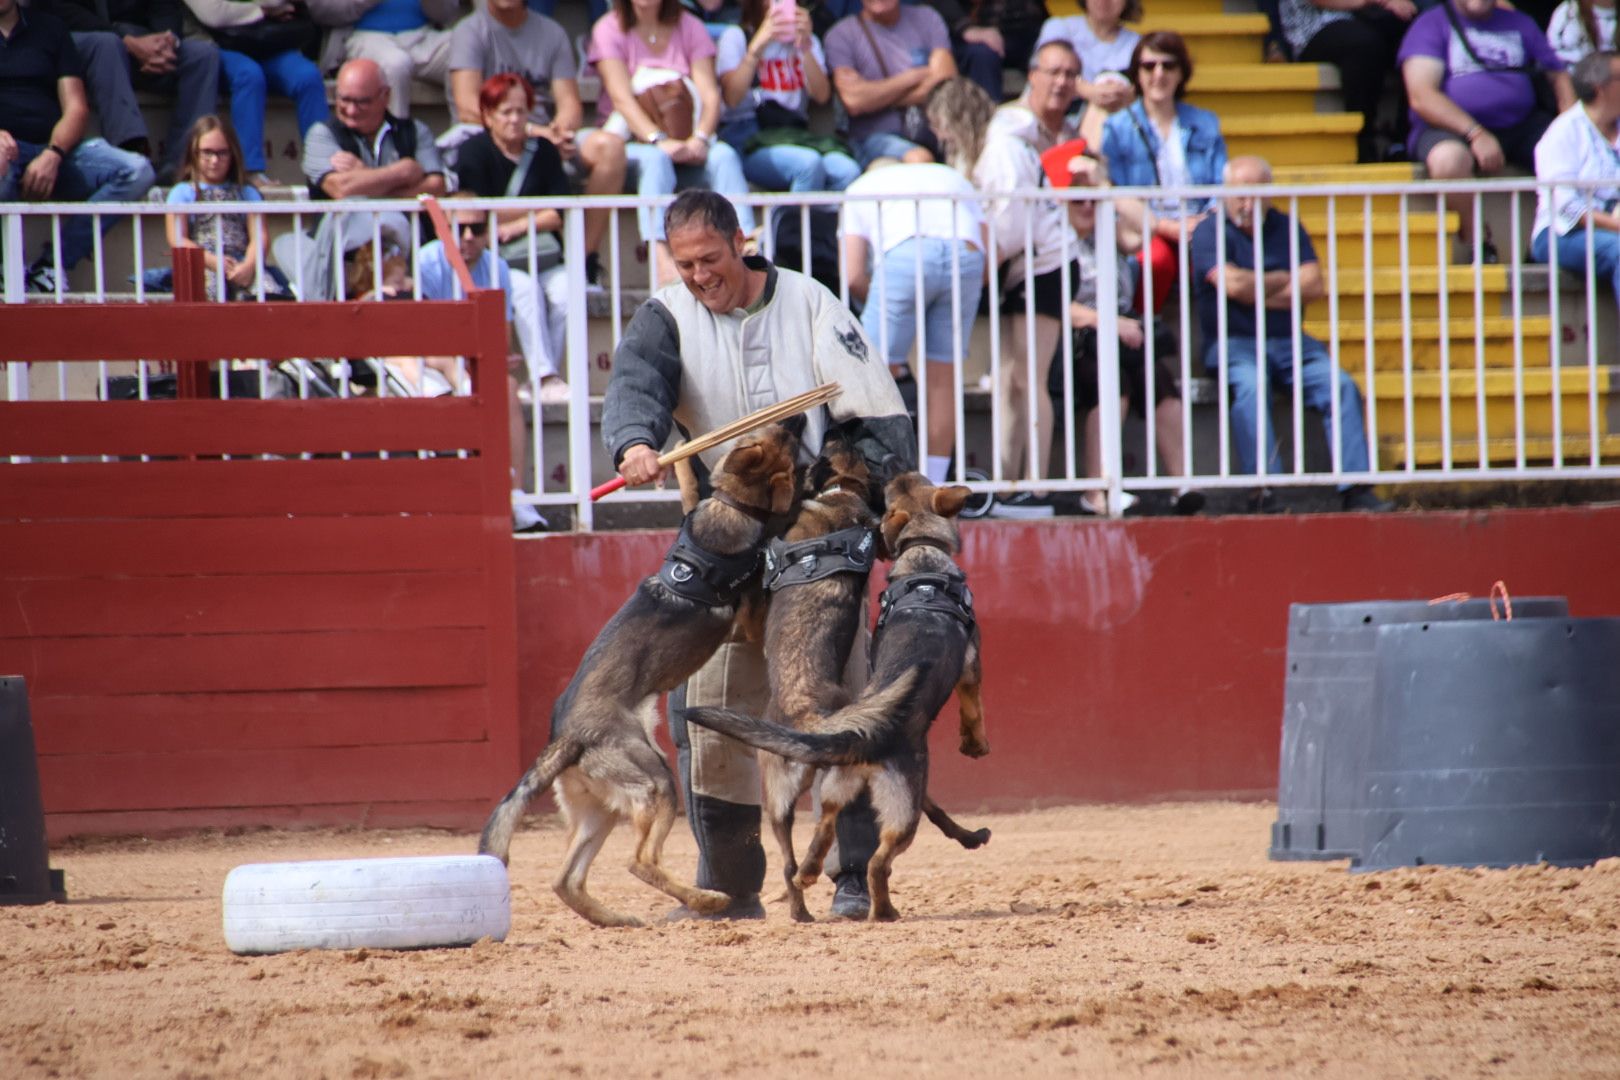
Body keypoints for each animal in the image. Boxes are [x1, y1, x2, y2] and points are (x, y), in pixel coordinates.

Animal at [473, 420, 806, 932]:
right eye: (780, 437)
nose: (798, 419)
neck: (728, 506)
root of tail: (566, 737)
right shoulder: (749, 616)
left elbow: (687, 488)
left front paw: (679, 456)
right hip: (657, 782)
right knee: (640, 862)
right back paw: (707, 900)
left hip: (603, 810)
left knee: (566, 880)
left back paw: (614, 919)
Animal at [683, 472, 984, 919]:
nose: (897, 469)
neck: (923, 557)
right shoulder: (971, 665)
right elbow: (973, 709)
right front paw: (975, 743)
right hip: (902, 806)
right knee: (878, 861)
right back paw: (884, 911)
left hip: (815, 793)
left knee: (813, 839)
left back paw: (806, 884)